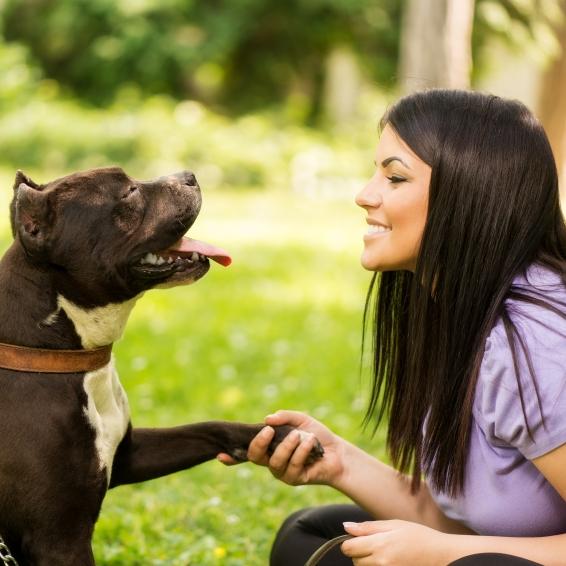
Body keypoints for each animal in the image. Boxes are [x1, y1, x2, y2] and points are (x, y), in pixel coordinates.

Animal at [0, 166, 322, 564]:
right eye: (129, 193)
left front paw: (284, 436)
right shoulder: (58, 539)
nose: (189, 174)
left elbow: (206, 427)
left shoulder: (130, 454)